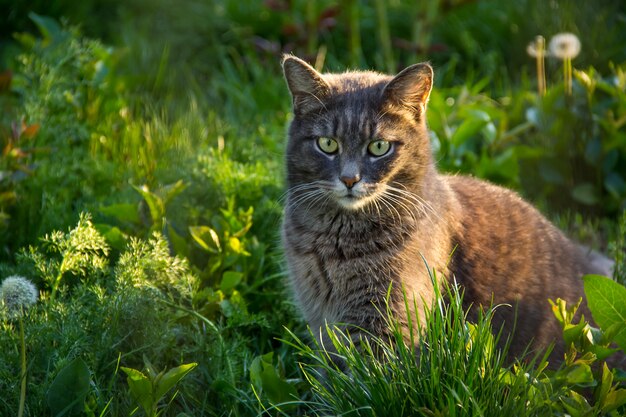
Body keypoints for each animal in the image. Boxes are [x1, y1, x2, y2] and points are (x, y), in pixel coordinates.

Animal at [282, 54, 616, 364]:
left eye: (379, 147)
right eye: (327, 144)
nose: (350, 179)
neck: (336, 240)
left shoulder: (388, 319)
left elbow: (367, 380)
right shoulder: (322, 322)